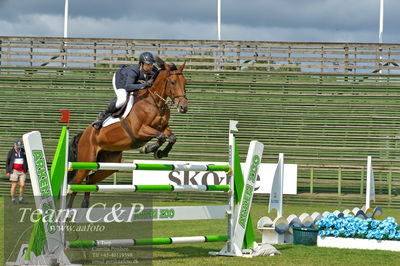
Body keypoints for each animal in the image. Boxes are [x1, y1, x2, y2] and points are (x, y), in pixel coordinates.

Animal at [67, 58, 189, 208]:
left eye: (185, 82)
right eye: (172, 82)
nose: (183, 107)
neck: (155, 103)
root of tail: (83, 135)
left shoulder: (163, 127)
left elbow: (171, 138)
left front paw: (161, 153)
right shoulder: (140, 131)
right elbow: (160, 137)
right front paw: (148, 149)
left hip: (110, 164)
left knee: (90, 180)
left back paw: (84, 206)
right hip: (86, 161)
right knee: (74, 186)